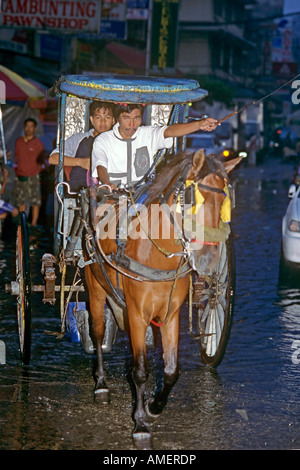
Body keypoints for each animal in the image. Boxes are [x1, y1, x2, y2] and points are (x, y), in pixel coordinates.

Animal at [84, 149, 241, 442]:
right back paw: (100, 383)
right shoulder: (136, 313)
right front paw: (140, 423)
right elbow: (140, 370)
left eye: (226, 199)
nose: (208, 260)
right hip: (95, 287)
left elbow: (170, 370)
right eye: (190, 197)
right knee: (97, 333)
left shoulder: (171, 315)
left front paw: (154, 407)